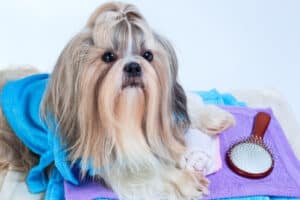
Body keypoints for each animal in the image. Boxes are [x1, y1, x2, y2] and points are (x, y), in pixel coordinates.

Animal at [0, 1, 234, 200]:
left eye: (147, 55)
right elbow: (149, 171)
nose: (133, 66)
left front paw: (213, 116)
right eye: (108, 57)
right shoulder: (109, 165)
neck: (128, 114)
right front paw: (183, 181)